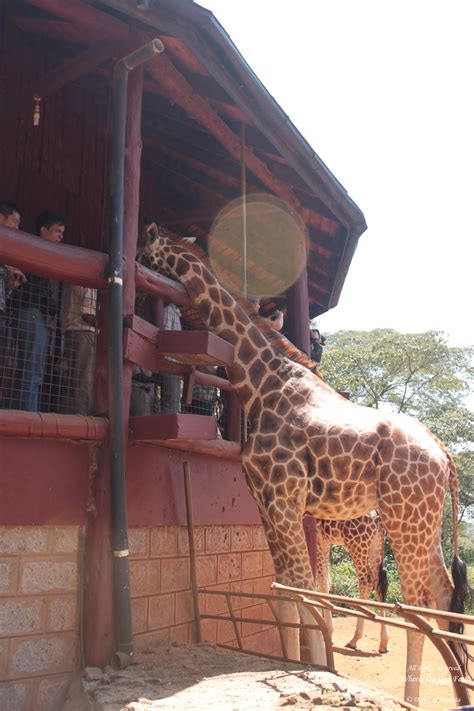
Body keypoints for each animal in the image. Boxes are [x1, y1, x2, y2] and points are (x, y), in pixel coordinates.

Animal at [312, 512, 388, 656]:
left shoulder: (317, 539)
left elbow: (321, 580)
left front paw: (327, 632)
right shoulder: (324, 540)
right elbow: (326, 581)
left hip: (357, 543)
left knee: (366, 582)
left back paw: (354, 639)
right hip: (376, 543)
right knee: (379, 584)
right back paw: (383, 643)